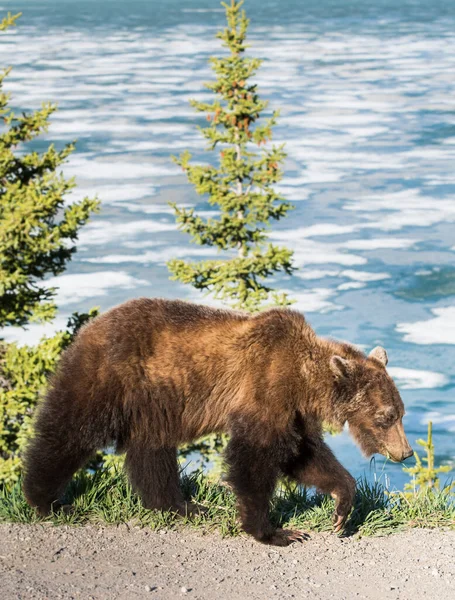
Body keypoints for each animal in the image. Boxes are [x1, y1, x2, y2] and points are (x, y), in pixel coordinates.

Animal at [23, 298, 416, 548]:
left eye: (401, 412)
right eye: (386, 416)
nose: (406, 452)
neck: (304, 381)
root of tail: (91, 325)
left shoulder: (294, 413)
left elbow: (305, 455)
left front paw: (341, 506)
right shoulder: (264, 389)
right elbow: (254, 458)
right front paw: (275, 532)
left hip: (152, 402)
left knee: (152, 451)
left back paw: (182, 506)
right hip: (110, 378)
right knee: (70, 431)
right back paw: (47, 501)